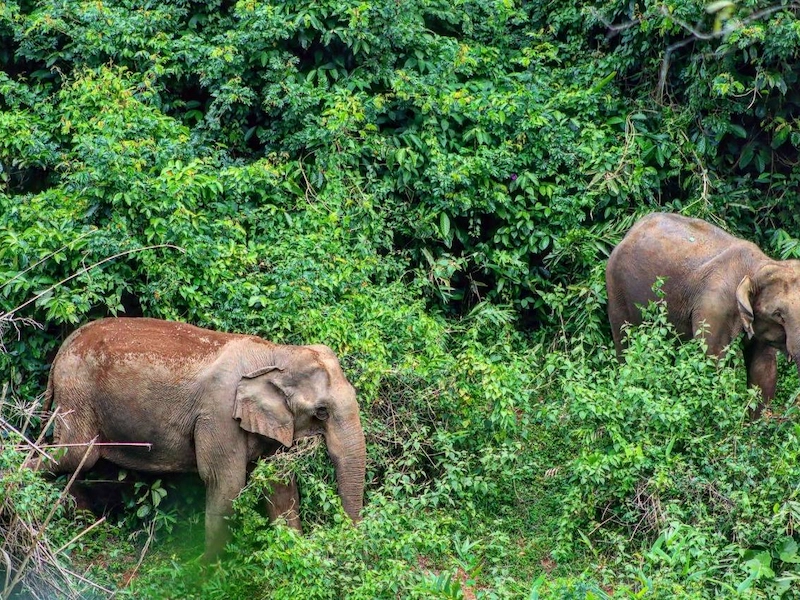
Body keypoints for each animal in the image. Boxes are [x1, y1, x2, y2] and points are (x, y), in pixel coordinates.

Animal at [34, 317, 366, 560]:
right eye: (321, 412)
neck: (276, 353)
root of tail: (62, 350)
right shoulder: (218, 416)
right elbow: (226, 483)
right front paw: (210, 571)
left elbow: (280, 485)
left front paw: (294, 553)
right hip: (77, 396)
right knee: (74, 455)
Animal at [606, 212, 800, 415]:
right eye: (778, 314)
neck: (756, 266)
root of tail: (629, 231)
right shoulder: (713, 307)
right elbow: (714, 362)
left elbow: (763, 369)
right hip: (616, 288)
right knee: (624, 338)